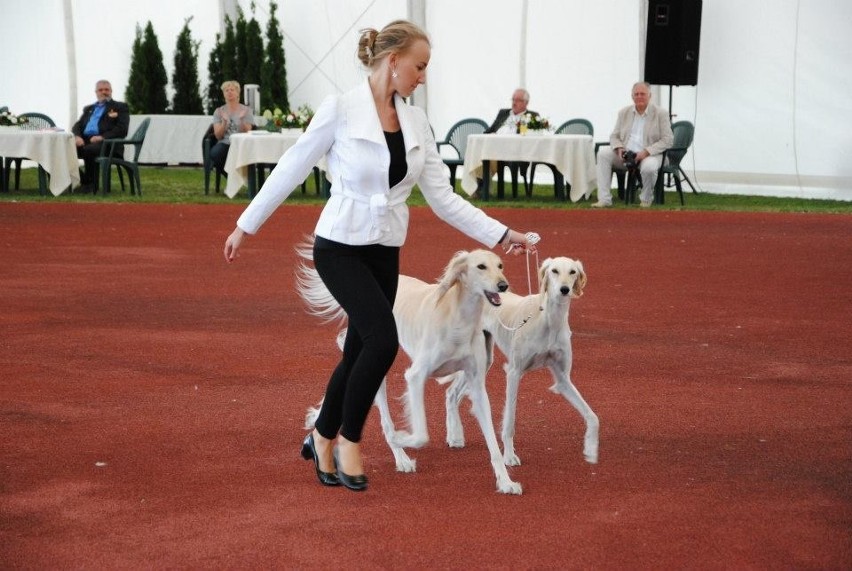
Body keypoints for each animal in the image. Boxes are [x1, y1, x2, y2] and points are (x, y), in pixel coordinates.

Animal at [296, 246, 524, 496]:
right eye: (481, 266)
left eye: (500, 265)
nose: (503, 285)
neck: (458, 318)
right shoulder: (415, 377)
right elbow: (421, 435)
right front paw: (400, 439)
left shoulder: (477, 384)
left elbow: (493, 443)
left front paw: (506, 482)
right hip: (377, 363)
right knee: (383, 416)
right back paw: (400, 457)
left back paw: (316, 423)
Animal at [446, 258, 600, 470]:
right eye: (554, 271)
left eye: (572, 272)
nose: (564, 289)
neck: (548, 320)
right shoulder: (514, 372)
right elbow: (510, 421)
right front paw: (509, 456)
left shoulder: (563, 380)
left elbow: (593, 417)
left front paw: (590, 449)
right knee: (451, 392)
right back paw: (454, 436)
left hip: (484, 361)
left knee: (453, 393)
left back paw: (455, 436)